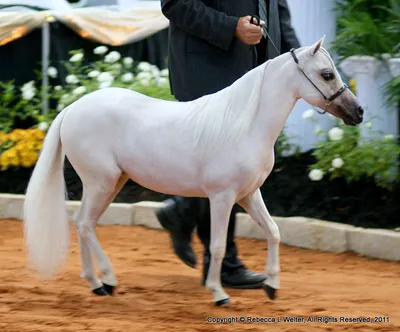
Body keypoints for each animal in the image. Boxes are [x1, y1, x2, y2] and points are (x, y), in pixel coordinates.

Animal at [24, 37, 362, 306]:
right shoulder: (222, 198)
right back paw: (107, 279)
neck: (244, 125)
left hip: (111, 182)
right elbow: (218, 244)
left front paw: (271, 286)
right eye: (327, 74)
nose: (357, 112)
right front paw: (219, 294)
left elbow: (273, 232)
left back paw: (97, 285)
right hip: (101, 182)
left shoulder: (249, 194)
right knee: (84, 223)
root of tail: (73, 108)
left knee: (85, 223)